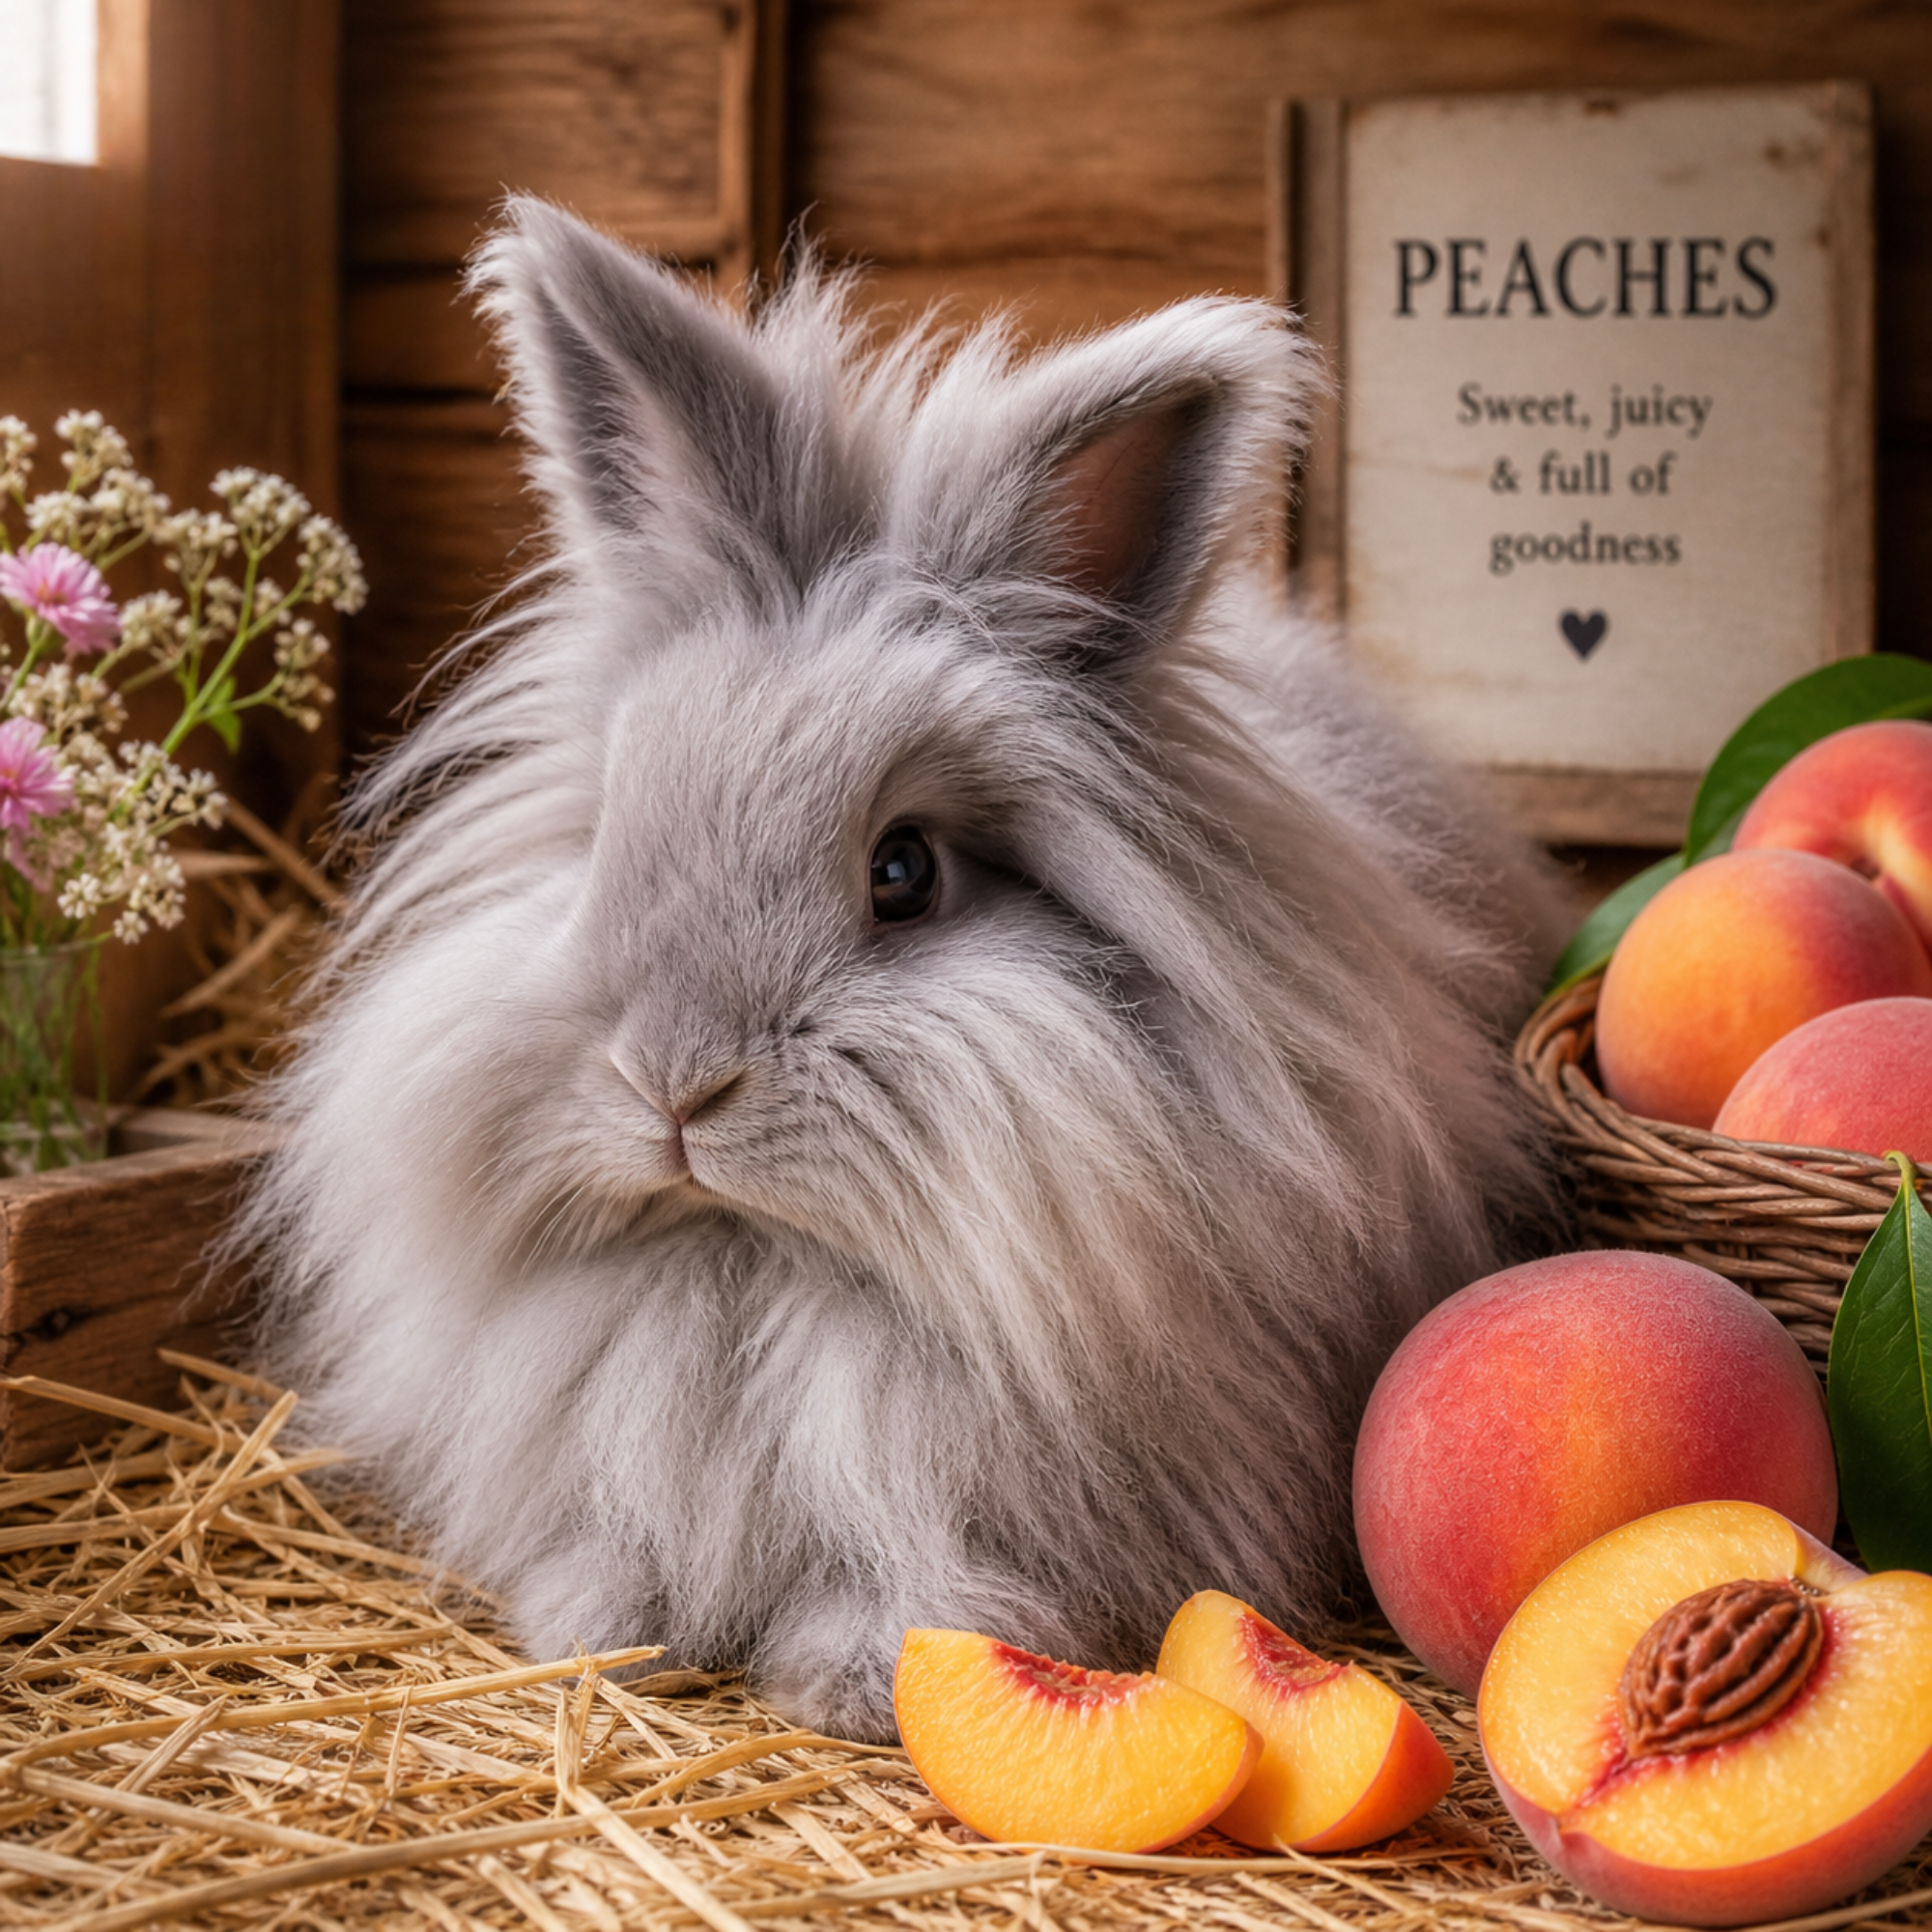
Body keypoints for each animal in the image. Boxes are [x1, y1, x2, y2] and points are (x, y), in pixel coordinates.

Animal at [238, 197, 1566, 1745]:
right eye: (616, 827)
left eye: (904, 872)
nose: (672, 1087)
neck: (761, 1270)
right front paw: (598, 1627)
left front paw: (853, 1682)